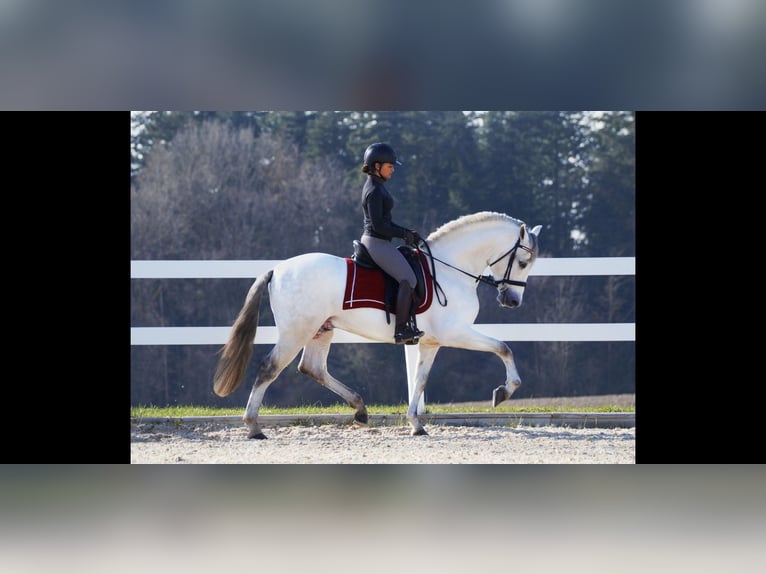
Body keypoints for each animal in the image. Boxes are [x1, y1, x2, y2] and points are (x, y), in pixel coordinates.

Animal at [213, 212, 544, 440]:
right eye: (523, 263)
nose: (512, 301)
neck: (451, 270)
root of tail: (277, 269)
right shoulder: (455, 333)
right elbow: (503, 347)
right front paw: (503, 392)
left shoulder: (431, 342)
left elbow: (420, 380)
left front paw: (415, 424)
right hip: (297, 332)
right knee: (269, 368)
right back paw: (253, 427)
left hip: (322, 329)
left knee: (313, 368)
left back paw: (360, 410)